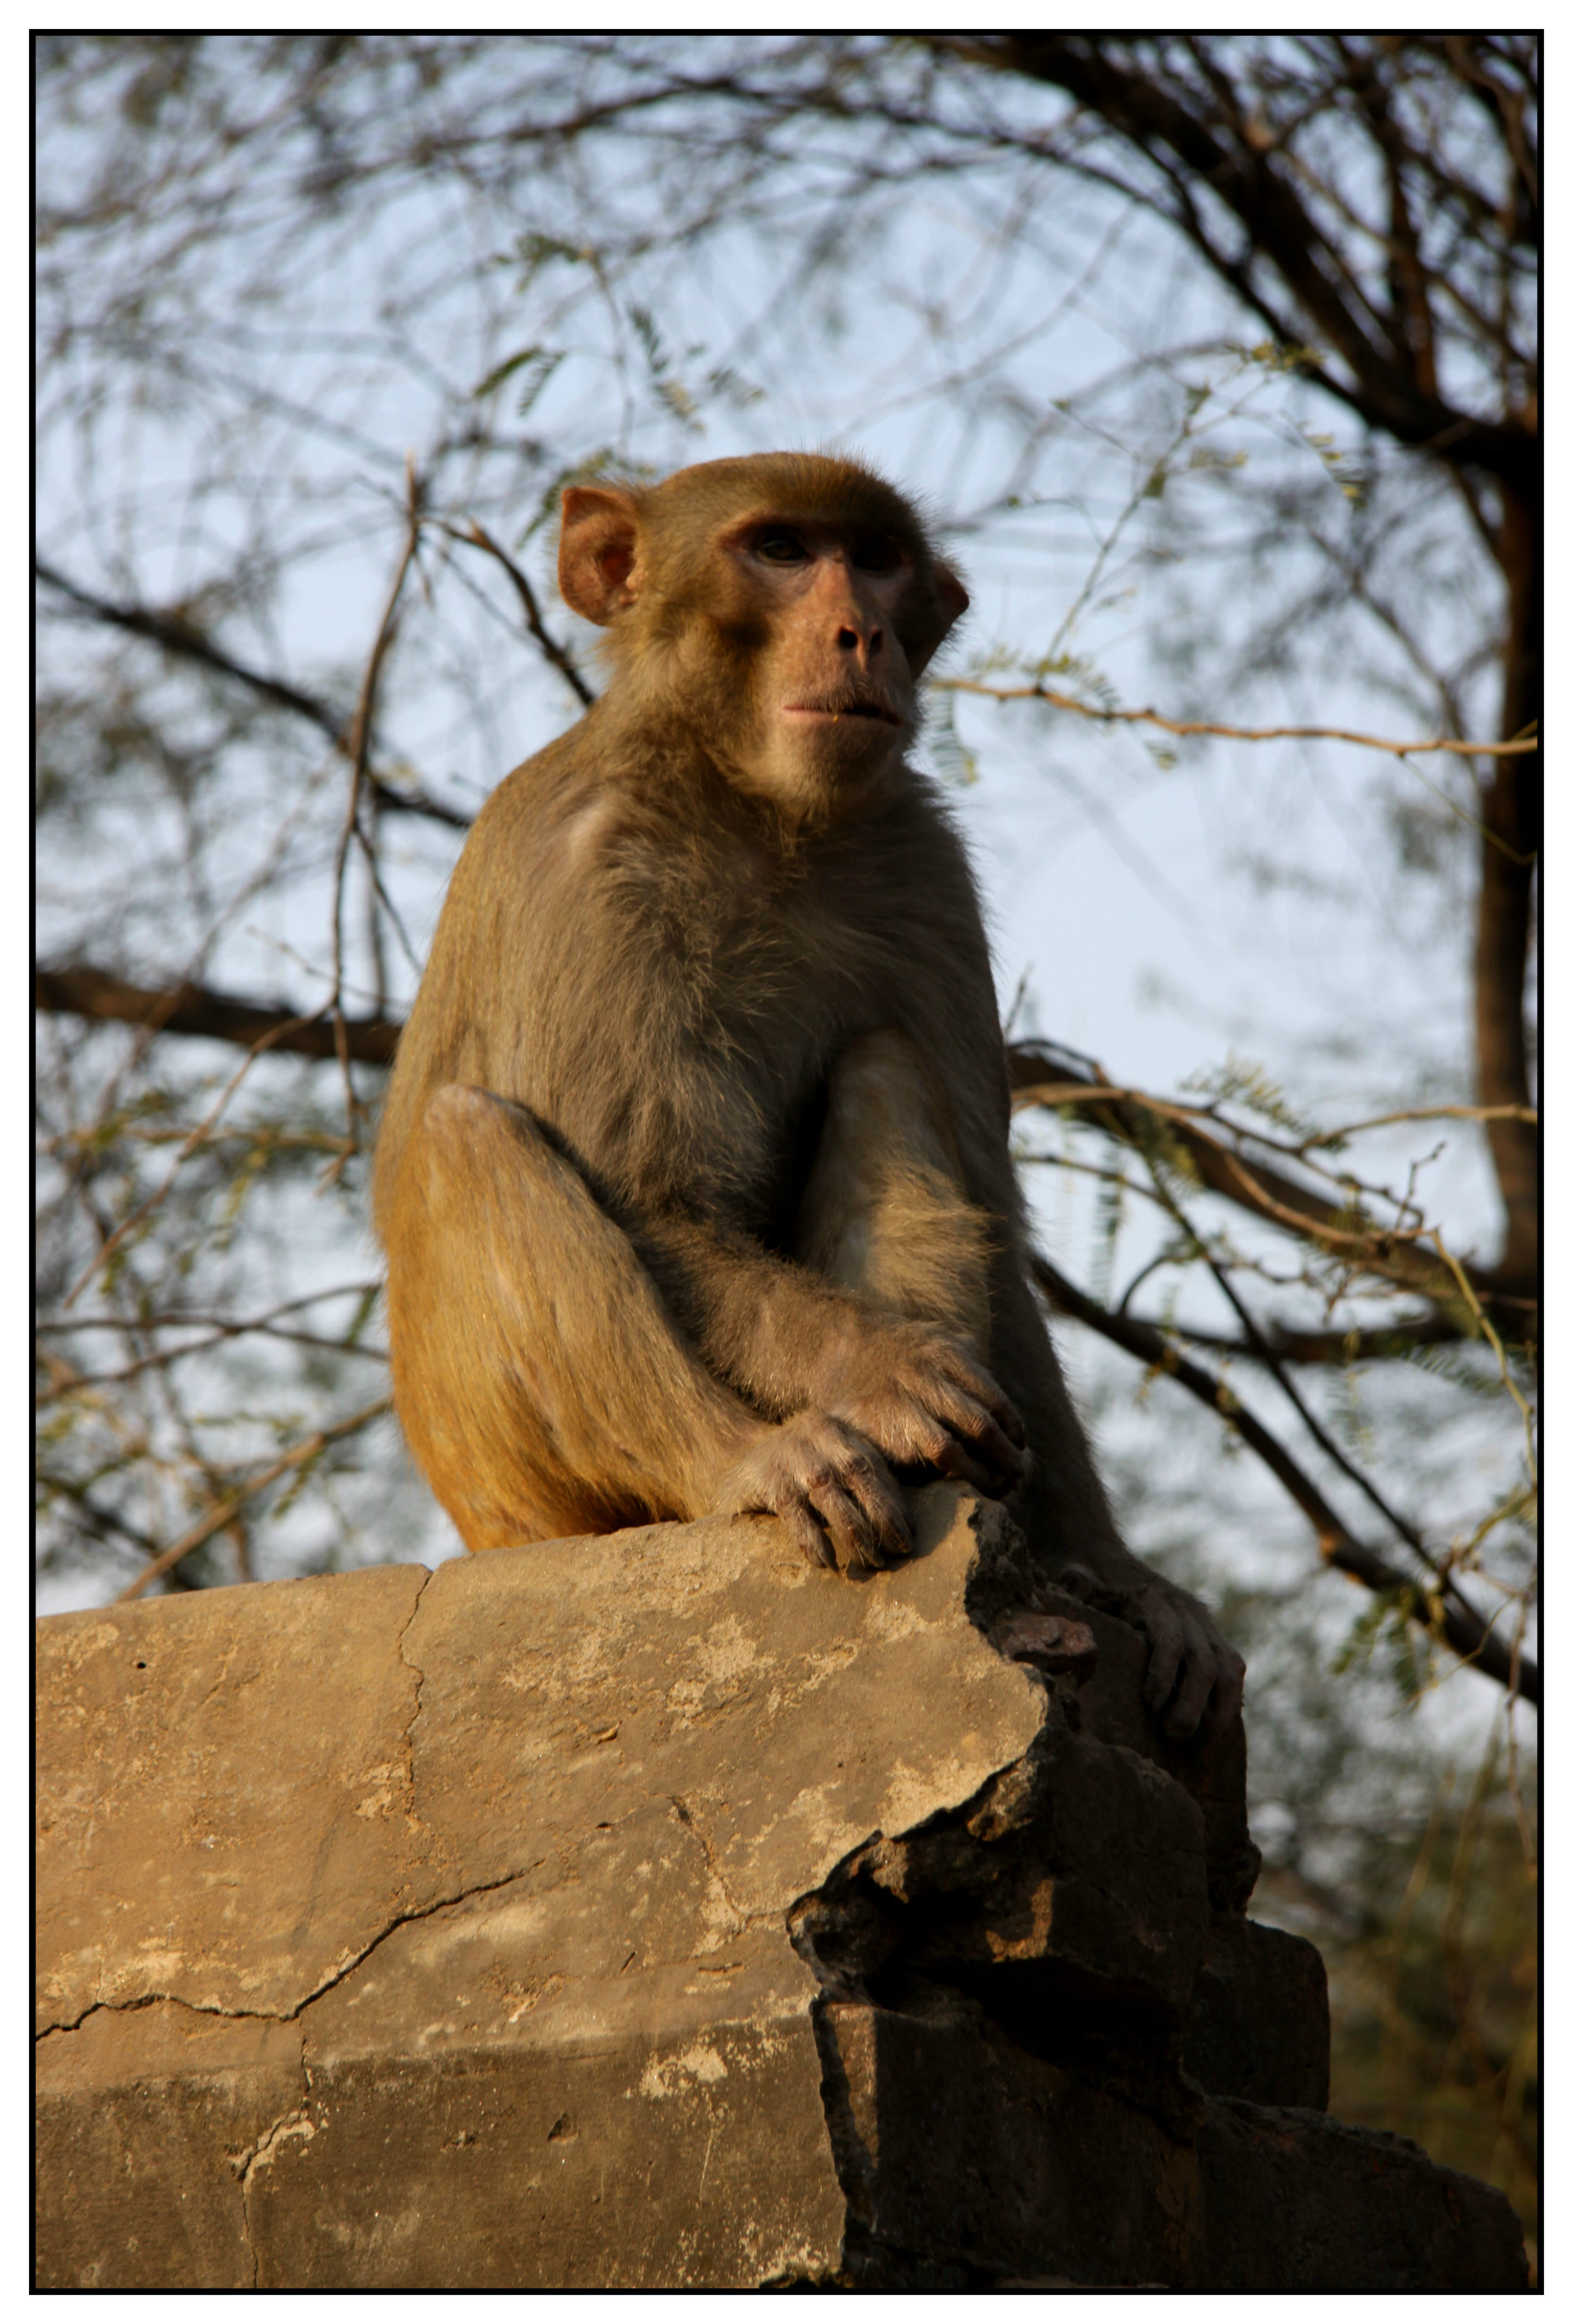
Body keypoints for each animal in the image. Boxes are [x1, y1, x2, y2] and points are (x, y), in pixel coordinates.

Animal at [374, 453, 1245, 1738]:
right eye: (780, 550)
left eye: (874, 560)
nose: (859, 631)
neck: (751, 803)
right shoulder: (590, 873)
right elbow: (657, 1200)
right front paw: (880, 1375)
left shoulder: (925, 864)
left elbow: (992, 1215)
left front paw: (1123, 1575)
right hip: (527, 1492)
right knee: (470, 1137)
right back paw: (748, 1461)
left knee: (886, 1060)